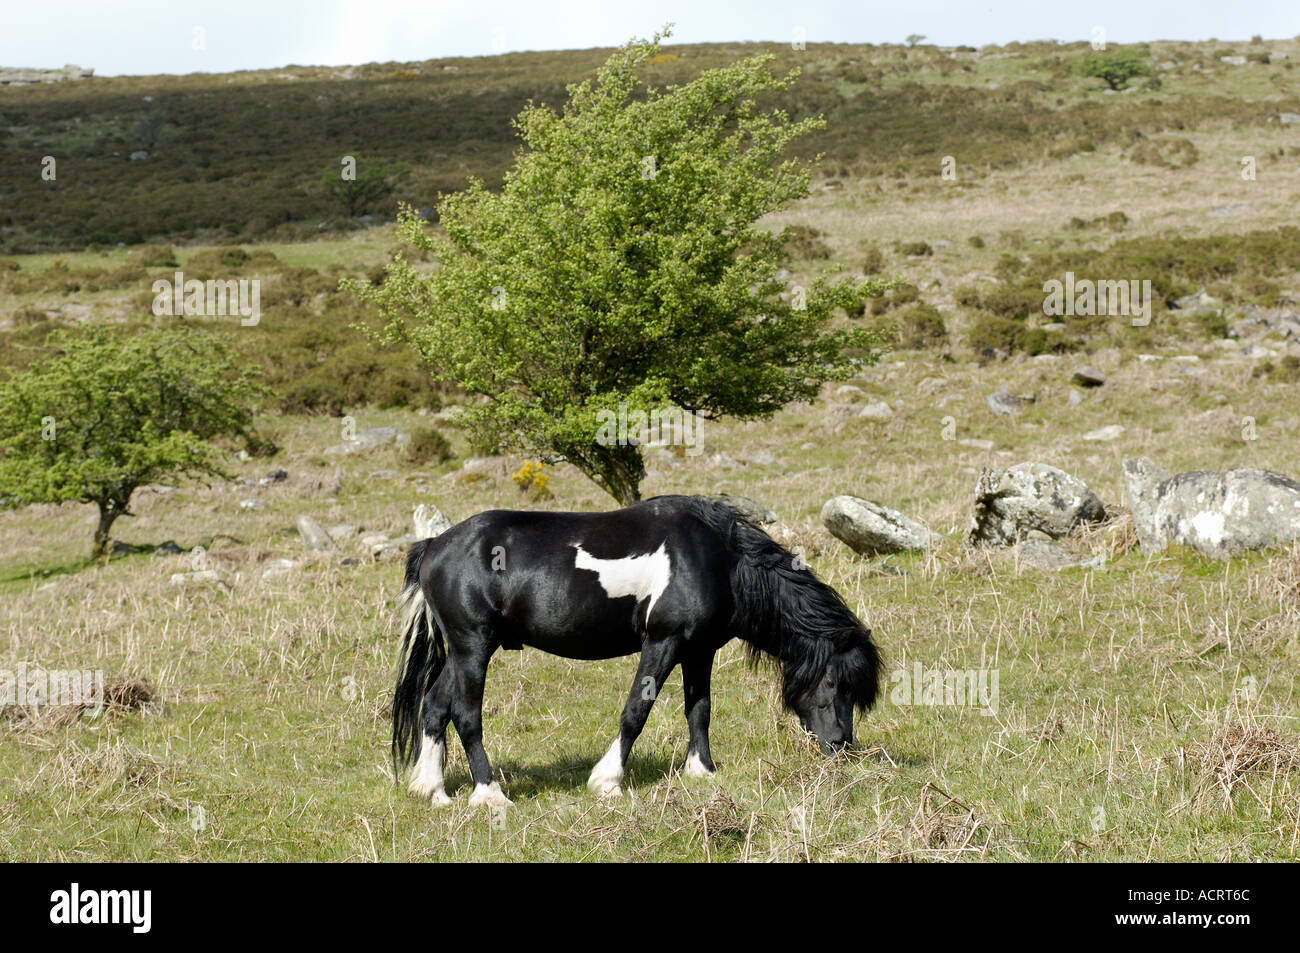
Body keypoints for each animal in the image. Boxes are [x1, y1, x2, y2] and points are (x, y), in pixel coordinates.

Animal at [390, 494, 881, 808]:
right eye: (835, 681)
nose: (841, 746)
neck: (717, 558)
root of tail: (433, 546)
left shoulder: (698, 650)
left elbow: (699, 709)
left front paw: (702, 771)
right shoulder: (663, 643)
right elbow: (636, 711)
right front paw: (607, 780)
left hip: (463, 652)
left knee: (434, 706)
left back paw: (433, 790)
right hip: (473, 647)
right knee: (465, 715)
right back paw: (490, 795)